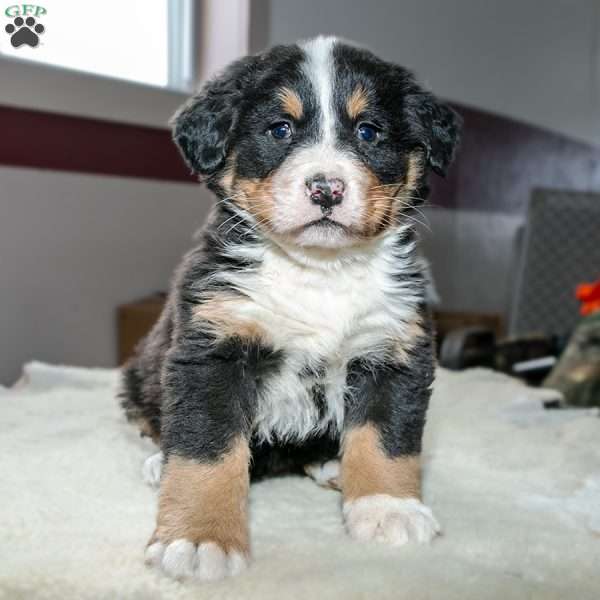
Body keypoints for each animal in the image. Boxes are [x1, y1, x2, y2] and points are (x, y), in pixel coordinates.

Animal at [120, 36, 460, 580]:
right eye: (280, 129)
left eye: (369, 131)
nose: (327, 188)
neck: (320, 273)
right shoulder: (213, 350)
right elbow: (205, 450)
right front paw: (199, 537)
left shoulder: (394, 350)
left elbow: (386, 438)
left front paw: (388, 506)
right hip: (138, 376)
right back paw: (158, 462)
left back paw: (333, 464)